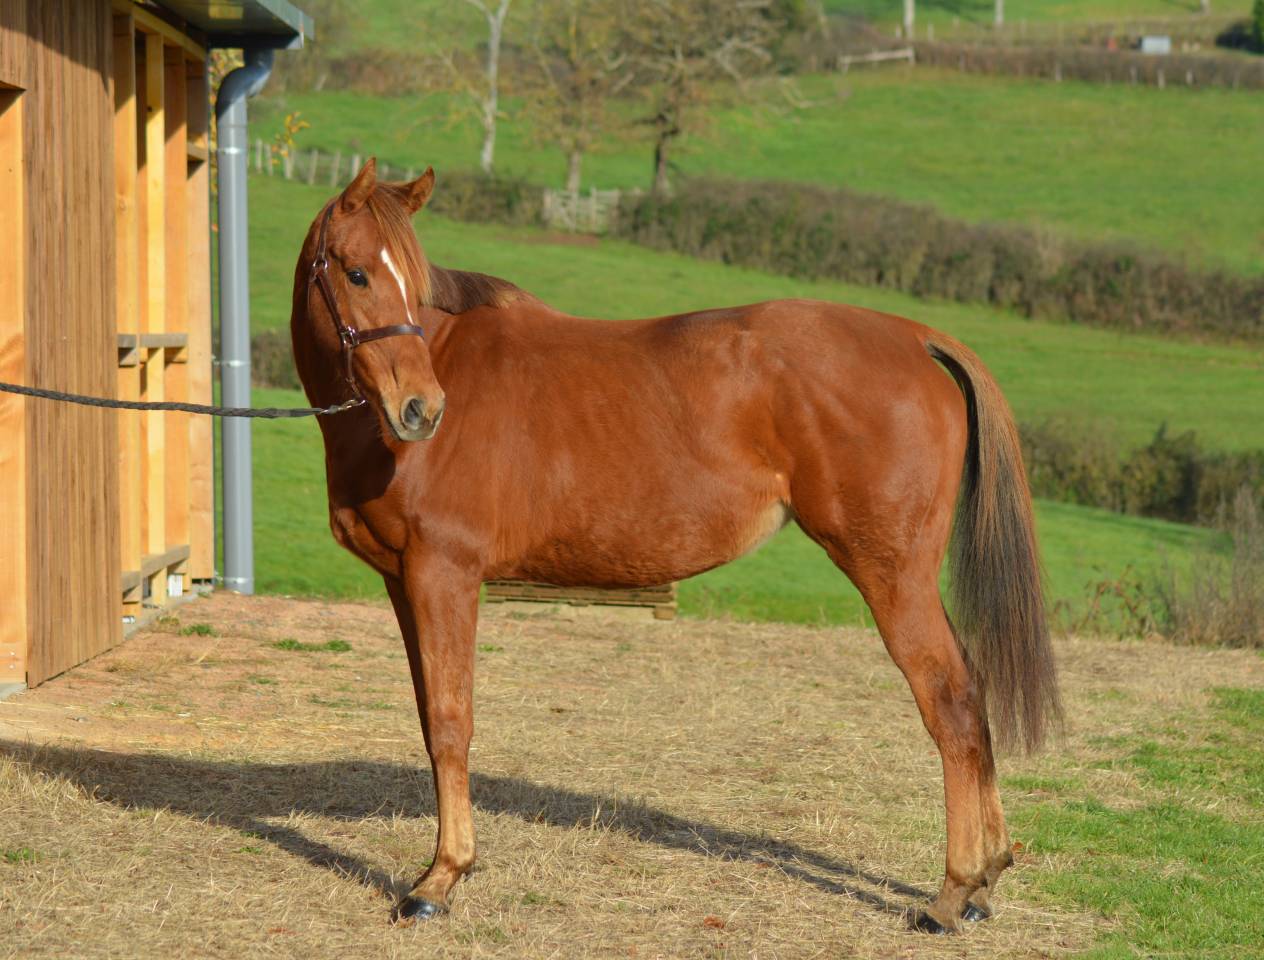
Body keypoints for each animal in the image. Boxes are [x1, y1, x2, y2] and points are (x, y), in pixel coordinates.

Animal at [289, 159, 1061, 934]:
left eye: (411, 282)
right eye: (357, 273)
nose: (421, 409)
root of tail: (915, 335)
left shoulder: (444, 574)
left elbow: (452, 722)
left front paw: (440, 879)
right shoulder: (403, 581)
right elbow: (428, 717)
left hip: (892, 575)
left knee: (951, 700)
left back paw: (953, 891)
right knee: (973, 691)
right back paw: (987, 875)